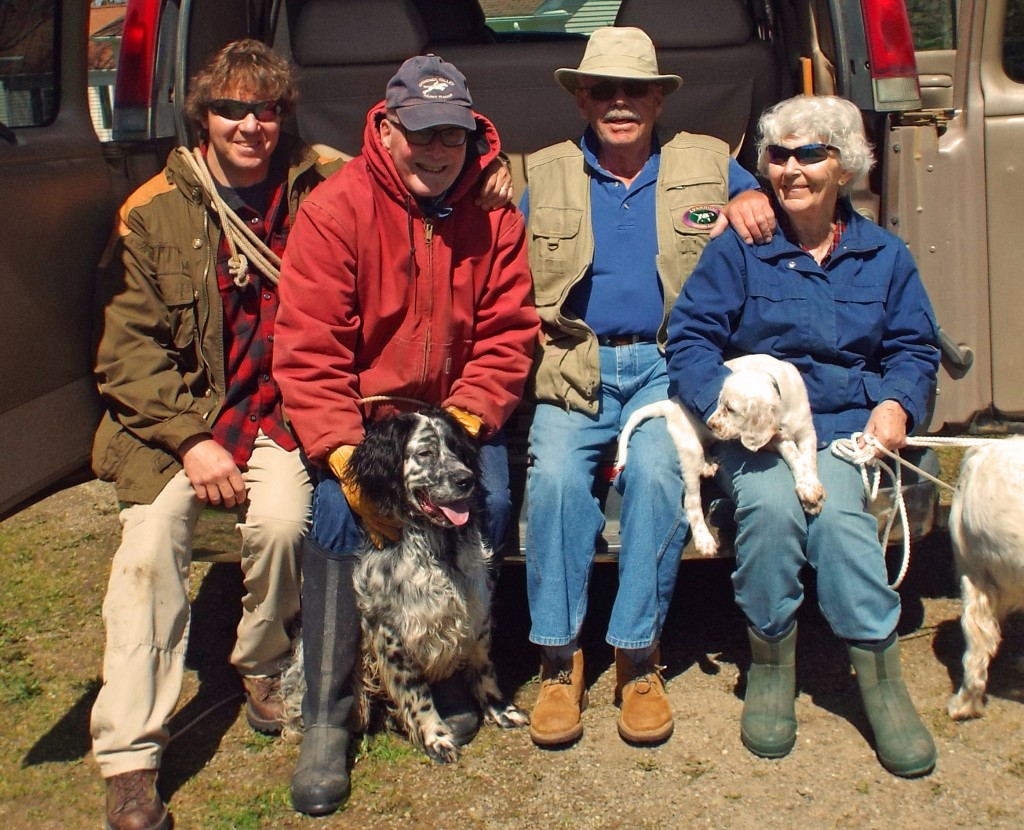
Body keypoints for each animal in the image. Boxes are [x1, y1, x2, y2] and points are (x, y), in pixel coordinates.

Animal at [614, 352, 823, 556]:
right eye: (719, 402)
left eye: (730, 408)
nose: (709, 424)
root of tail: (670, 404)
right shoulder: (778, 437)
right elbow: (795, 455)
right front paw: (808, 488)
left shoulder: (808, 431)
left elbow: (809, 460)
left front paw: (811, 493)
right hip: (690, 448)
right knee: (691, 501)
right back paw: (703, 539)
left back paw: (707, 465)